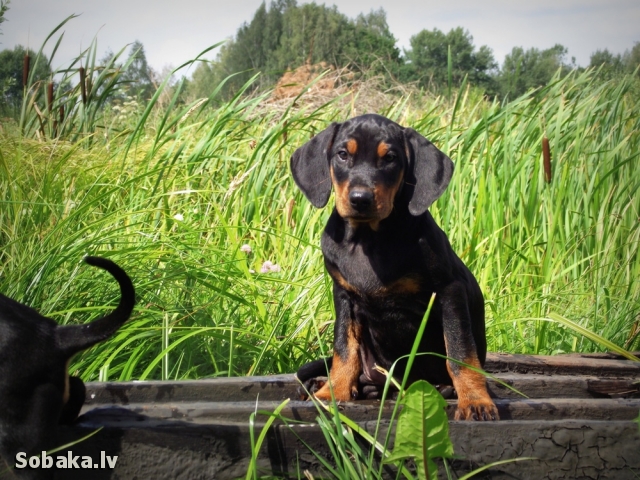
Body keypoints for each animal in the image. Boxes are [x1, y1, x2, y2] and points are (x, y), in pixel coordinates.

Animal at [292, 114, 498, 422]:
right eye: (342, 155)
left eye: (390, 158)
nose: (360, 199)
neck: (369, 239)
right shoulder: (344, 296)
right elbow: (344, 349)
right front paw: (332, 393)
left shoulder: (449, 291)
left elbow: (460, 351)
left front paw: (475, 400)